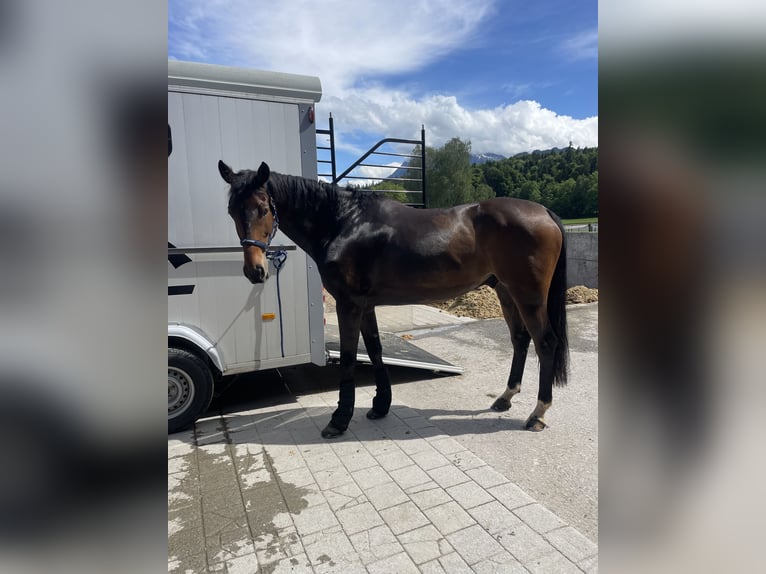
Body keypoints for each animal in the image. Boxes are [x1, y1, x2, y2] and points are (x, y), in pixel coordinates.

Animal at [219, 162, 568, 440]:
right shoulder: (366, 304)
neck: (344, 222)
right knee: (520, 339)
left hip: (528, 295)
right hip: (506, 291)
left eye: (263, 209)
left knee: (545, 342)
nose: (255, 271)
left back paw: (537, 413)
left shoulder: (348, 303)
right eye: (232, 211)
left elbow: (349, 357)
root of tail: (544, 212)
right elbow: (374, 349)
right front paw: (379, 406)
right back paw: (505, 398)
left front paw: (339, 420)